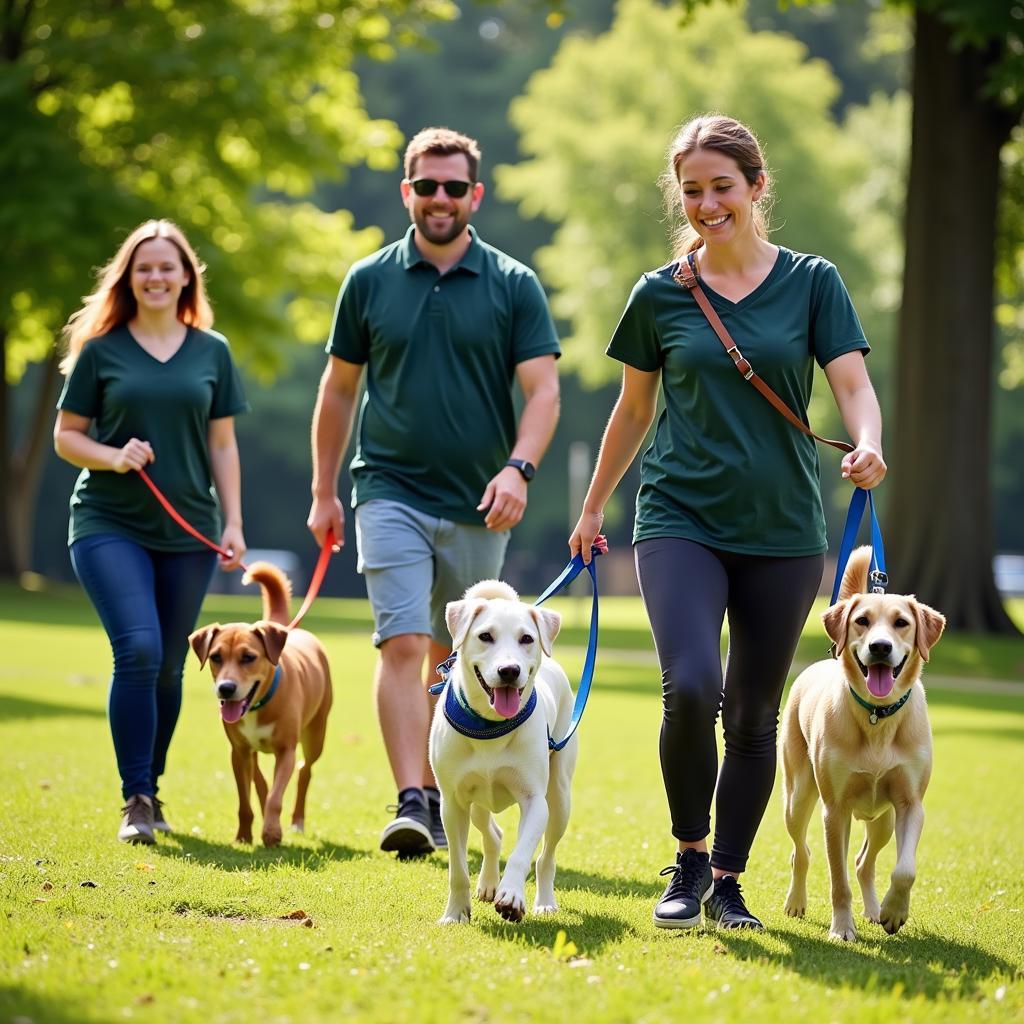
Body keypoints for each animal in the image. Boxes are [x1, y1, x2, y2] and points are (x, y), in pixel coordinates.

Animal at [190, 565, 333, 843]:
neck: (259, 704)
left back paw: (297, 821)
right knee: (261, 780)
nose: (226, 688)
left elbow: (277, 798)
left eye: (248, 657)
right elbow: (245, 801)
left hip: (316, 734)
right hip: (250, 750)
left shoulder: (286, 751)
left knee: (305, 770)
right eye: (215, 657)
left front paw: (272, 833)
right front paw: (244, 835)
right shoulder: (238, 752)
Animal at [428, 581, 581, 925]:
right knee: (492, 833)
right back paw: (487, 884)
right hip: (476, 802)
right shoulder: (452, 803)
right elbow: (458, 868)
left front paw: (511, 896)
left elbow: (522, 854)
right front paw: (454, 913)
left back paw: (544, 901)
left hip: (560, 797)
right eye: (485, 636)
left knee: (545, 856)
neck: (490, 725)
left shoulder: (534, 800)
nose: (509, 670)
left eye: (527, 638)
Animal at [778, 548, 946, 937]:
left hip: (882, 819)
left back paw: (874, 909)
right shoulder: (835, 809)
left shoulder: (910, 803)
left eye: (901, 623)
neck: (878, 719)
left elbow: (905, 869)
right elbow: (837, 880)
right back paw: (796, 901)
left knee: (863, 862)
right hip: (798, 795)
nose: (880, 647)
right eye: (862, 621)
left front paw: (894, 911)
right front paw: (842, 928)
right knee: (802, 851)